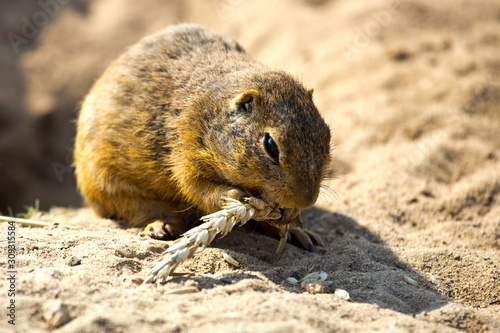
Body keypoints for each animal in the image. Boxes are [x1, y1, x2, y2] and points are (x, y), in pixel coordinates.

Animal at [74, 24, 332, 249]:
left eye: (326, 135)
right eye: (270, 145)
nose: (306, 201)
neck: (213, 112)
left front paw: (292, 215)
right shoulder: (184, 151)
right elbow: (197, 188)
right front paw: (235, 196)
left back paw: (301, 234)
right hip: (108, 186)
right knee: (141, 209)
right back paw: (162, 226)